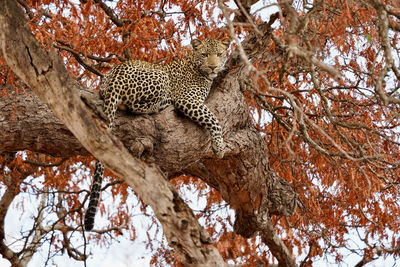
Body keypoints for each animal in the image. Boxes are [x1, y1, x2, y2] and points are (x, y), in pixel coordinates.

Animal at [84, 38, 231, 232]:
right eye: (205, 54)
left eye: (219, 54)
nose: (213, 67)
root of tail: (118, 71)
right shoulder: (187, 99)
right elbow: (213, 119)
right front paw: (219, 146)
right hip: (161, 78)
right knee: (134, 105)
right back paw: (162, 103)